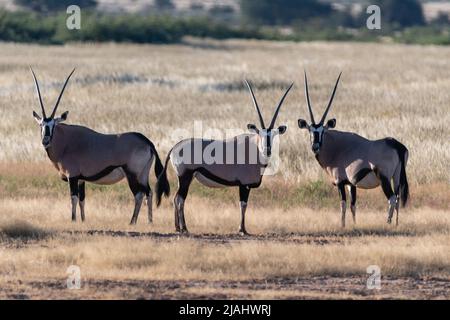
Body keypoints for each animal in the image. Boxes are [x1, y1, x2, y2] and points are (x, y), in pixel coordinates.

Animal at [31, 68, 169, 224]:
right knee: (149, 192)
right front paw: (83, 220)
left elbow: (73, 199)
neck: (66, 142)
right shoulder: (81, 179)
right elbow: (82, 200)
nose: (45, 141)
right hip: (143, 175)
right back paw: (150, 221)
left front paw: (73, 220)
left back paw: (132, 222)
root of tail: (147, 141)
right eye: (41, 125)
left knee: (139, 194)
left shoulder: (72, 177)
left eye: (53, 125)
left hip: (132, 174)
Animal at [156, 81, 294, 234]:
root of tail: (174, 148)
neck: (254, 149)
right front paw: (242, 229)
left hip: (188, 178)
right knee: (180, 199)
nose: (267, 150)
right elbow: (243, 205)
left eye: (273, 135)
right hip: (185, 176)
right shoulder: (244, 185)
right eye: (260, 134)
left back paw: (178, 227)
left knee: (176, 199)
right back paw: (184, 228)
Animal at [298, 72, 408, 228]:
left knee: (392, 198)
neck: (336, 148)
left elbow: (343, 204)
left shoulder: (340, 182)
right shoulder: (351, 184)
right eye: (310, 131)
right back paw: (397, 224)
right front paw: (355, 224)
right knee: (398, 198)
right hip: (397, 176)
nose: (315, 146)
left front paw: (342, 225)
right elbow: (353, 205)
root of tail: (396, 145)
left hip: (384, 178)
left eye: (322, 131)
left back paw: (387, 222)